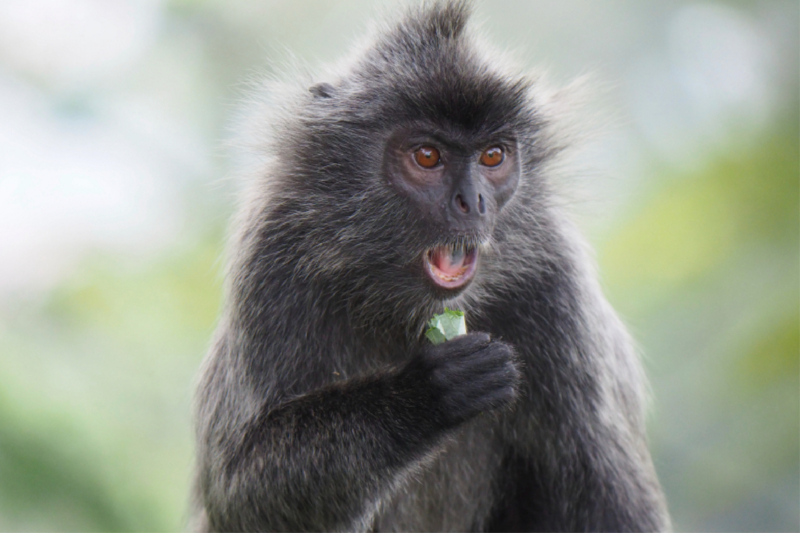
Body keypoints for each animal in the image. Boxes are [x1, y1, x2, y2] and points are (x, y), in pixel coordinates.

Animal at [192, 2, 668, 528]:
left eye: (493, 156)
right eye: (427, 156)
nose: (473, 202)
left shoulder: (556, 282)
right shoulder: (274, 256)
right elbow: (238, 494)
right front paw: (425, 393)